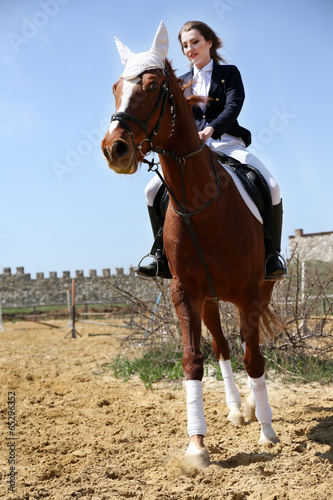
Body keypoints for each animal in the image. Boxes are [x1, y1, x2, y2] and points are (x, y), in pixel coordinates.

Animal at [100, 21, 278, 466]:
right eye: (116, 87)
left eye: (151, 85)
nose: (114, 149)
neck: (201, 202)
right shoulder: (184, 293)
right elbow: (193, 359)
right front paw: (197, 445)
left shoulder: (250, 293)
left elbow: (254, 356)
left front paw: (267, 431)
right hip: (210, 299)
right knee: (223, 346)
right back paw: (236, 409)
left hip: (260, 289)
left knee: (247, 349)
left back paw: (255, 410)